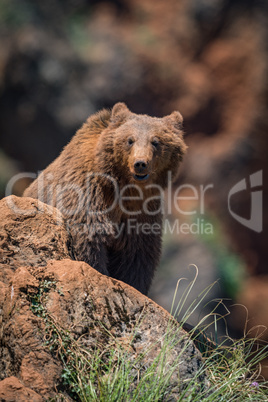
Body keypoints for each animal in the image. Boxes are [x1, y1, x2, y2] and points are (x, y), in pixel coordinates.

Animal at [23, 102, 186, 294]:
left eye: (156, 141)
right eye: (130, 140)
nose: (140, 164)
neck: (123, 187)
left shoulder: (142, 211)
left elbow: (137, 256)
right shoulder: (87, 194)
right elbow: (89, 238)